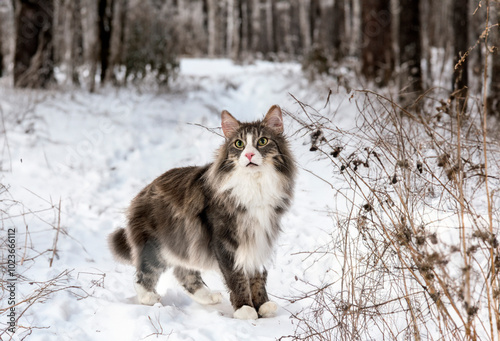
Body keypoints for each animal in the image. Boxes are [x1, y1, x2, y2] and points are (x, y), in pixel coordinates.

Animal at [108, 104, 296, 318]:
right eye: (239, 144)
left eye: (262, 141)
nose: (248, 155)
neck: (255, 184)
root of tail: (141, 193)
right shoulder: (225, 242)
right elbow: (237, 278)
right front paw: (245, 309)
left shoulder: (259, 238)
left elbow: (258, 276)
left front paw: (263, 305)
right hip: (156, 246)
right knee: (144, 273)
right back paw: (148, 297)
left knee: (183, 273)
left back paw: (209, 297)